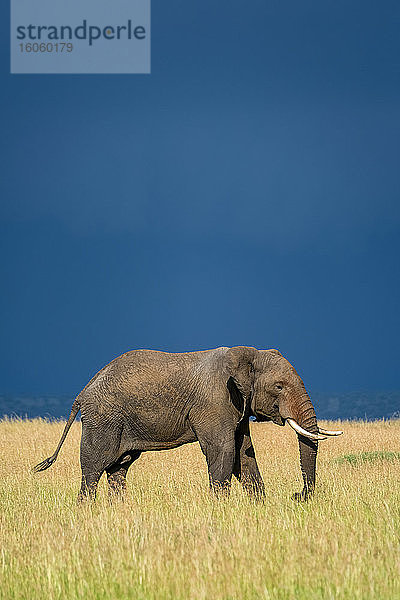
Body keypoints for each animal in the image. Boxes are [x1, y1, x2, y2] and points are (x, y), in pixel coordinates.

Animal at [33, 344, 344, 500]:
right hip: (103, 417)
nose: (297, 495)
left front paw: (258, 507)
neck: (247, 353)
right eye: (279, 387)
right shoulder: (215, 401)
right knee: (94, 468)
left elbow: (244, 454)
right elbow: (224, 452)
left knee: (119, 468)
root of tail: (82, 392)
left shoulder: (238, 405)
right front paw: (220, 509)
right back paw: (87, 509)